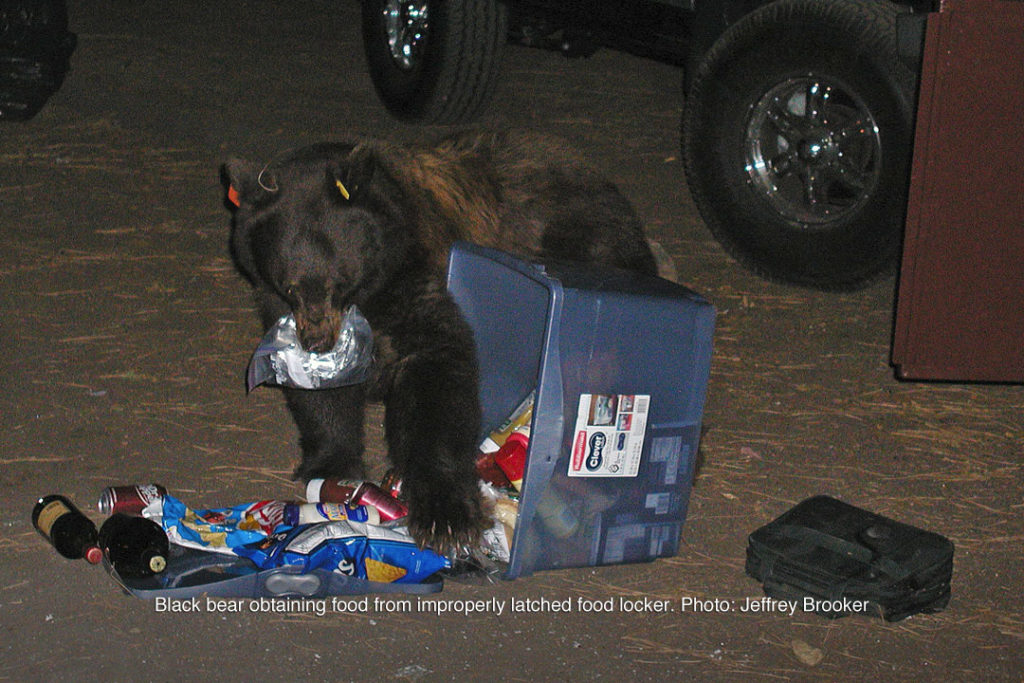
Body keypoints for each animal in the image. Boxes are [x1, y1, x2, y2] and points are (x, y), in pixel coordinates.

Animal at [224, 129, 658, 555]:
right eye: (290, 285)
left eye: (339, 282)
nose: (317, 342)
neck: (373, 291)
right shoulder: (276, 303)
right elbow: (320, 393)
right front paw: (331, 467)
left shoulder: (414, 277)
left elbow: (436, 378)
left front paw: (445, 515)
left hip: (589, 242)